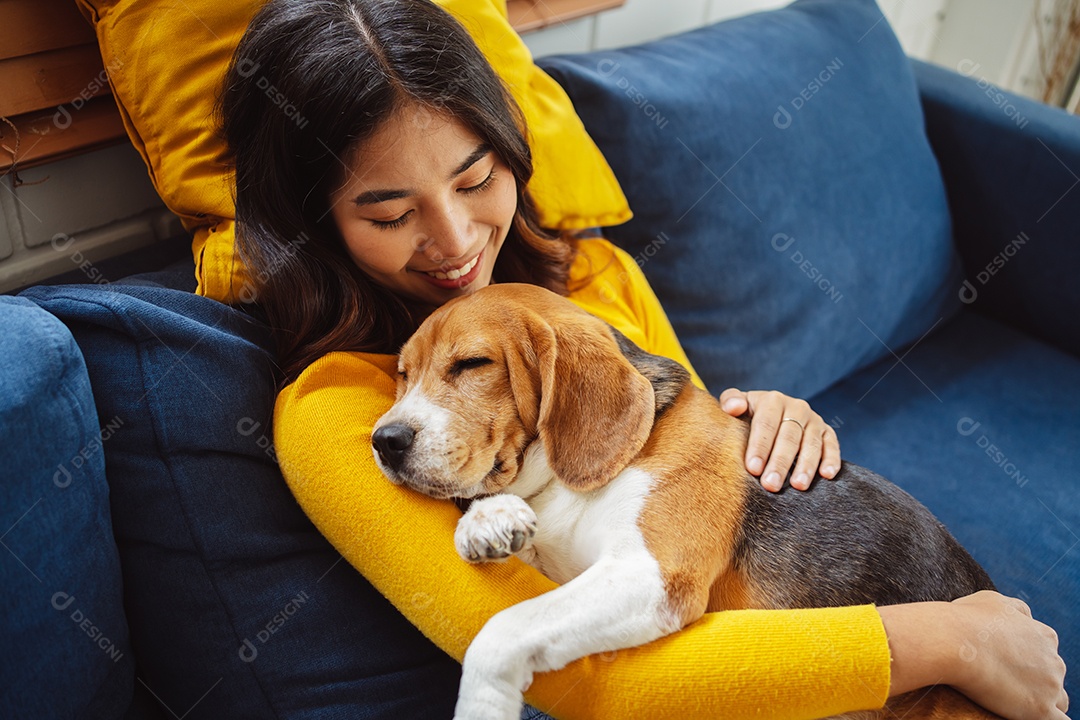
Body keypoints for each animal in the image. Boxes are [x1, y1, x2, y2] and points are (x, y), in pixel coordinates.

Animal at [373, 282, 993, 720]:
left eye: (472, 364)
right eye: (402, 374)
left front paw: (483, 704)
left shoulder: (651, 575)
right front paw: (489, 519)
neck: (562, 485)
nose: (384, 440)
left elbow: (505, 627)